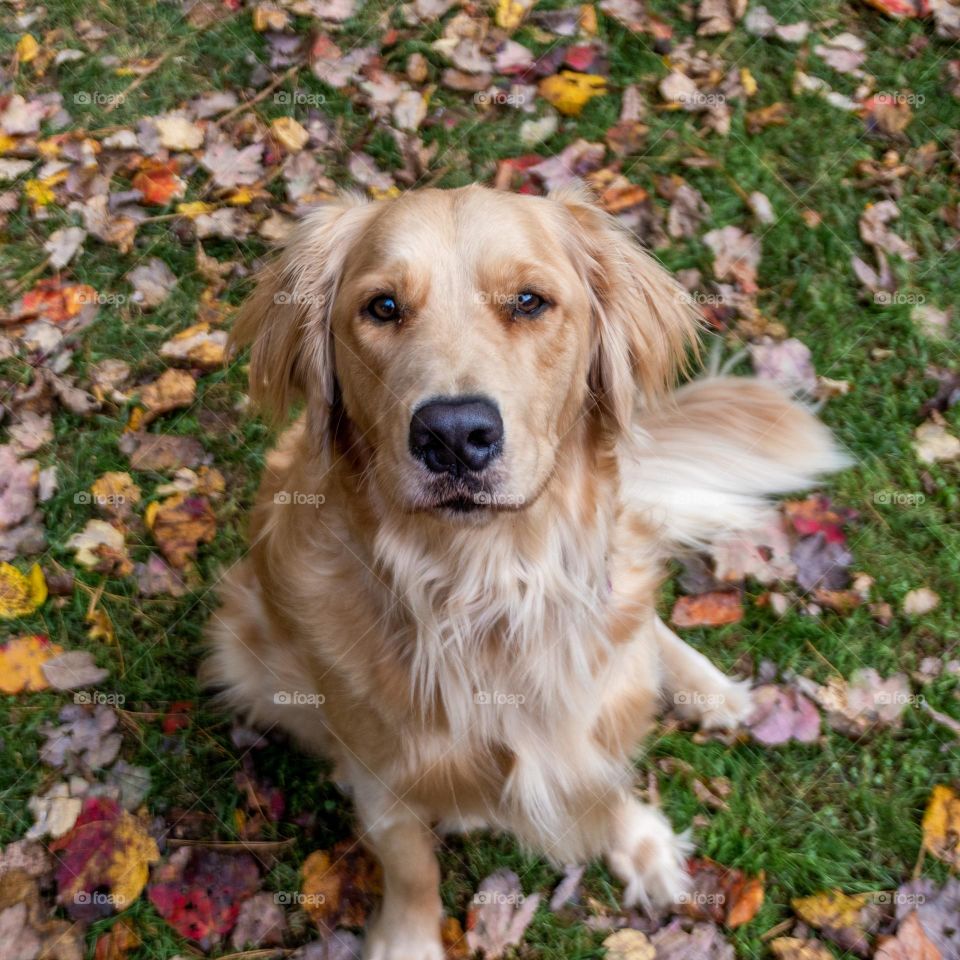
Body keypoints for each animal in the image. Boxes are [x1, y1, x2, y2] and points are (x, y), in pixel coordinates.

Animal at [204, 184, 848, 956]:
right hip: (243, 642)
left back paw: (708, 686)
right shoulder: (378, 767)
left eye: (530, 301)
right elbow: (409, 861)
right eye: (382, 307)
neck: (489, 588)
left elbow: (604, 770)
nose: (454, 434)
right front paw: (408, 938)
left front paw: (639, 844)